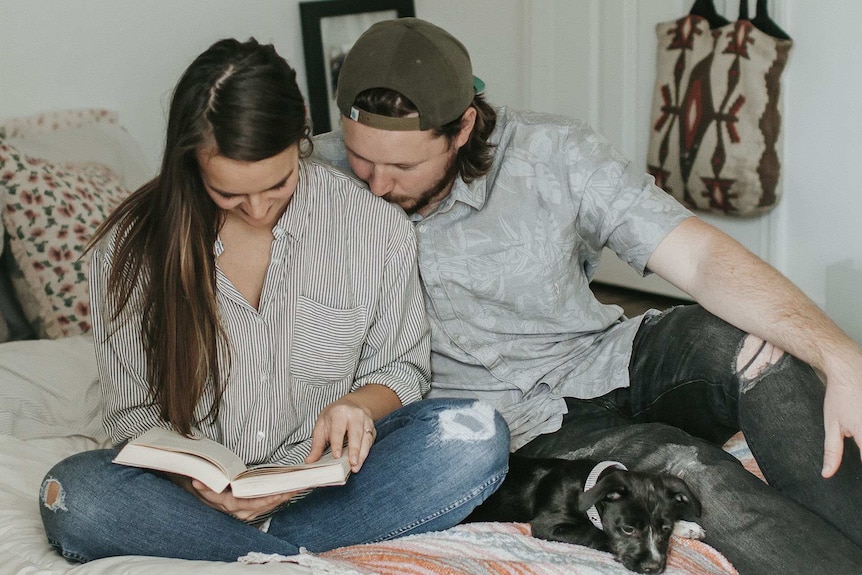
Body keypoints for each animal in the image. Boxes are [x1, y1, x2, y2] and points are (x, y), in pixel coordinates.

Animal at [470, 456, 704, 572]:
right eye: (628, 529)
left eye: (666, 529)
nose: (654, 568)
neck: (587, 485)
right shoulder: (547, 525)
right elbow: (595, 533)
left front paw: (686, 526)